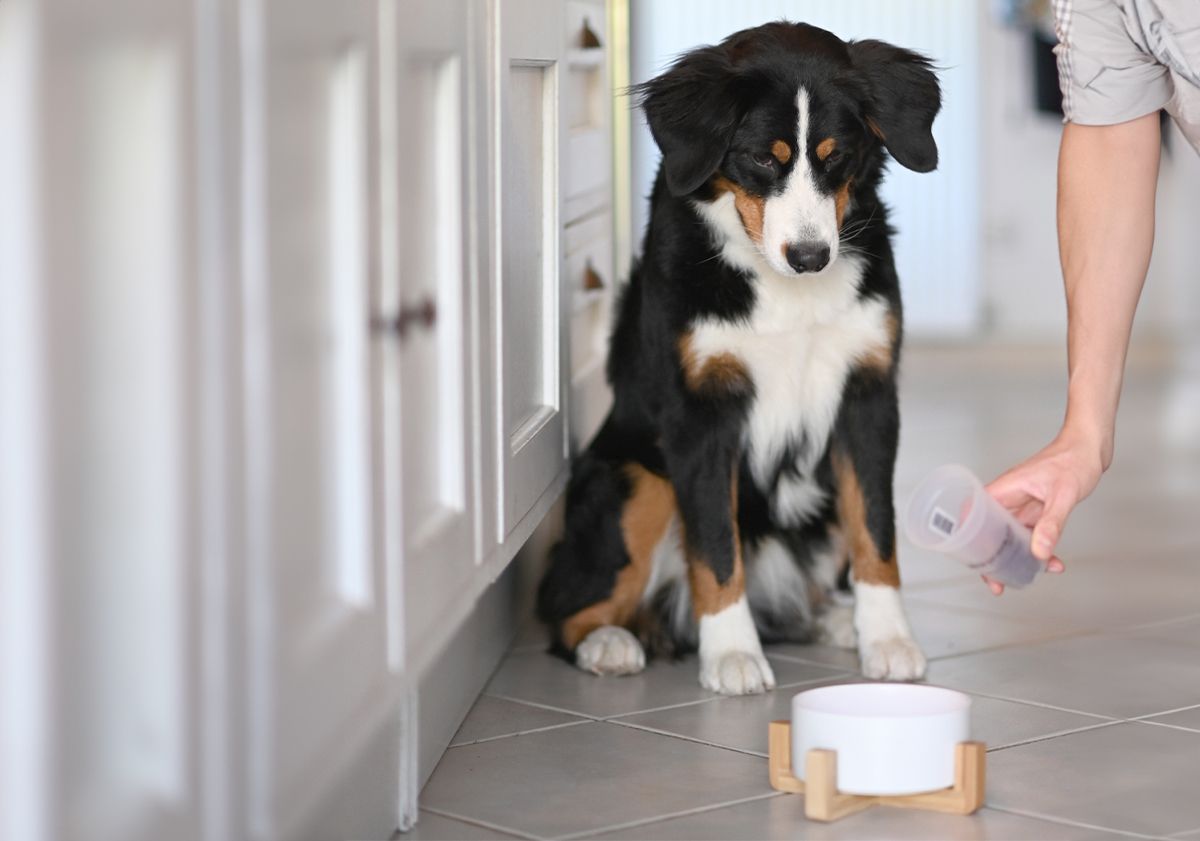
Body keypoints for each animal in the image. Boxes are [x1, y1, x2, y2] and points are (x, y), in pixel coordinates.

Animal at [540, 21, 940, 695]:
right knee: (565, 608)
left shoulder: (866, 395)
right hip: (637, 480)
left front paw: (887, 638)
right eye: (761, 158)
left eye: (836, 156)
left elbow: (876, 530)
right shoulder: (701, 410)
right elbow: (714, 542)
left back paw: (838, 618)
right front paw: (730, 653)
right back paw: (610, 643)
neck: (783, 291)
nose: (810, 257)